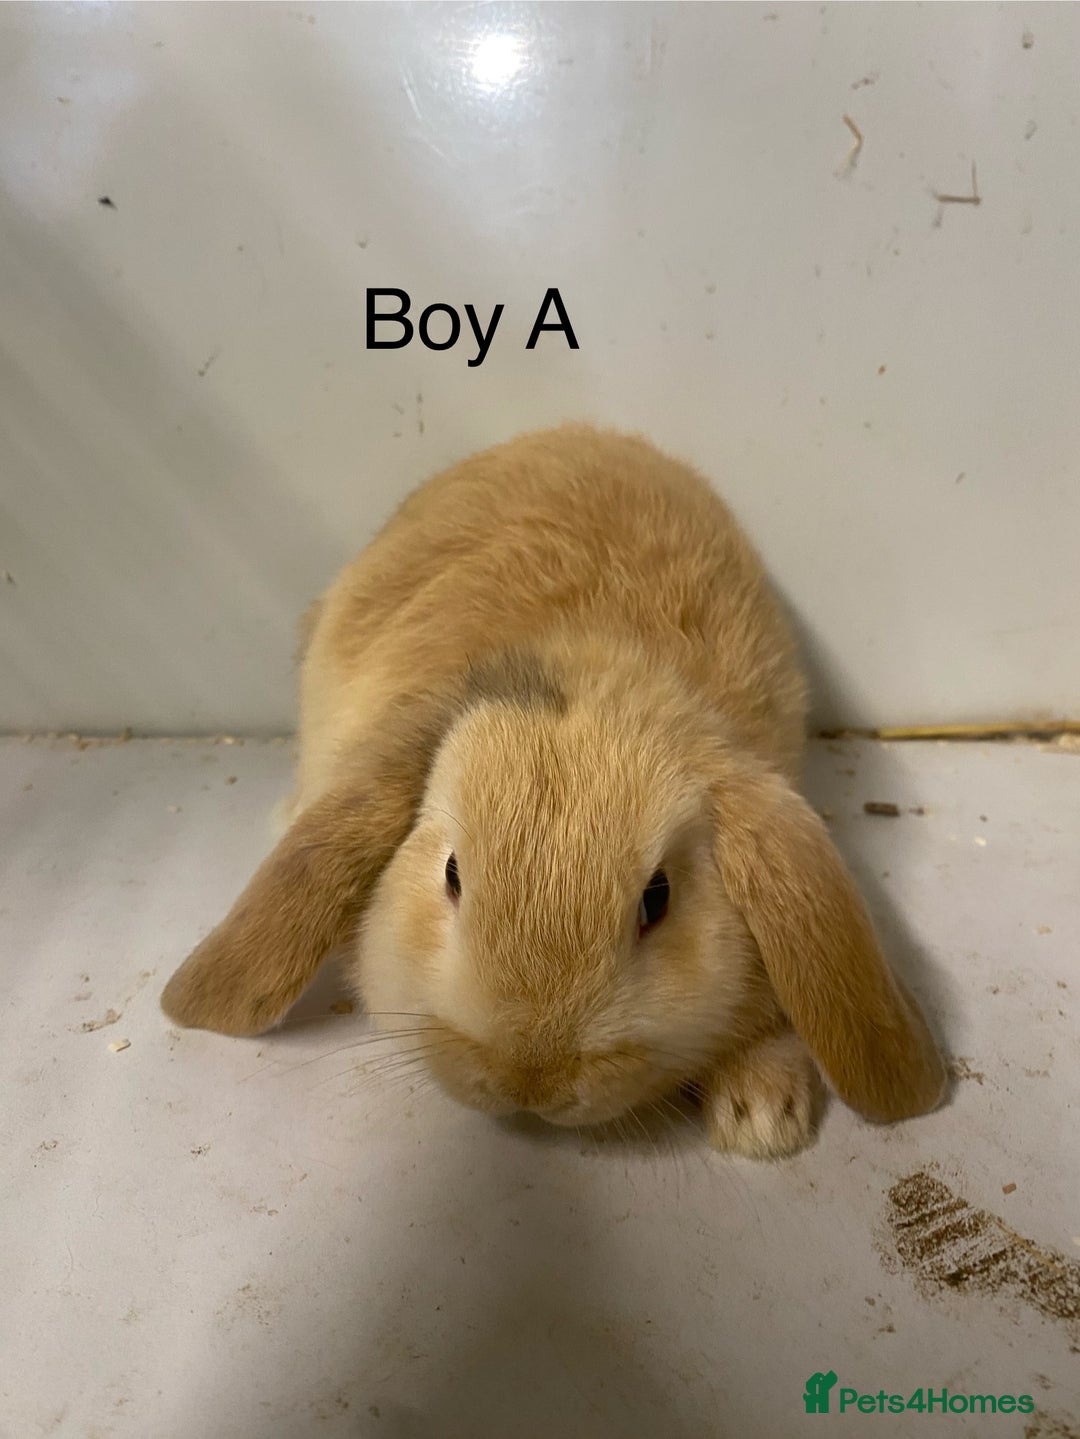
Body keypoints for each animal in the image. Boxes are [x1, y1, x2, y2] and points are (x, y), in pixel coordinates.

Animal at [161, 424, 945, 1158]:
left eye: (658, 899)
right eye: (451, 875)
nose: (530, 1082)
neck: (588, 660)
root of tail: (568, 432)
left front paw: (764, 1116)